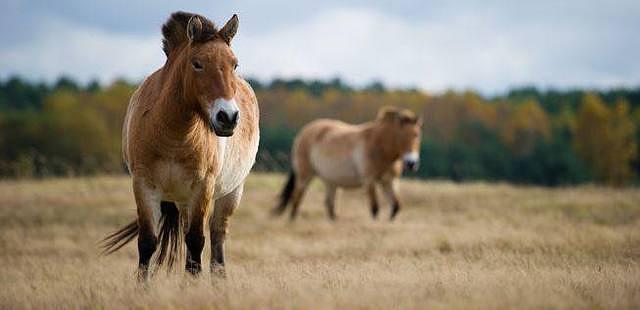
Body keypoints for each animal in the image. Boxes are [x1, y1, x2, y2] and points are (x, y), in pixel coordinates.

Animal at [101, 10, 258, 280]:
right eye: (197, 63)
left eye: (234, 64)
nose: (228, 117)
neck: (173, 136)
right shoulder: (144, 187)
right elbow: (147, 243)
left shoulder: (202, 189)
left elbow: (196, 243)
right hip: (183, 201)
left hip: (231, 193)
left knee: (217, 239)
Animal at [274, 106, 420, 220]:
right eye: (401, 135)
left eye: (417, 135)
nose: (411, 163)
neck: (381, 147)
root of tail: (304, 132)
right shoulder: (369, 180)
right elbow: (375, 208)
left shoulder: (389, 181)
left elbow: (396, 207)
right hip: (305, 174)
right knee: (297, 197)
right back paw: (292, 220)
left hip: (330, 181)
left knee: (329, 205)